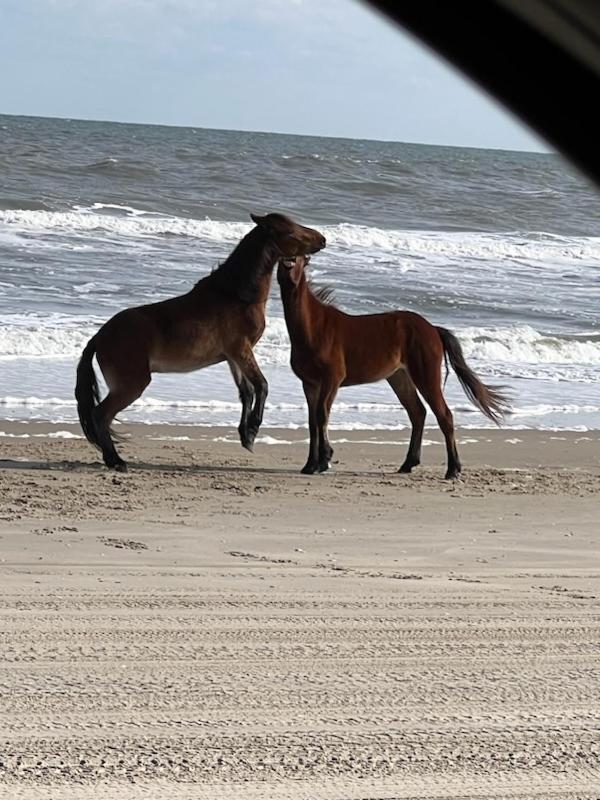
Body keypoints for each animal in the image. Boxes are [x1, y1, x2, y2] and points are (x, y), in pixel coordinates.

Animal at [75, 213, 326, 471]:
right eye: (291, 232)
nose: (322, 239)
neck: (236, 296)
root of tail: (99, 336)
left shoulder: (233, 357)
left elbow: (246, 392)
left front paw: (245, 435)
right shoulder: (242, 350)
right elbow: (262, 386)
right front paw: (254, 428)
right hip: (131, 385)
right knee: (100, 415)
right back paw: (116, 461)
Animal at [278, 254, 510, 479]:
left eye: (302, 257)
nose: (290, 263)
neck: (314, 328)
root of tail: (433, 329)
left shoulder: (331, 380)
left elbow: (321, 416)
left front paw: (324, 460)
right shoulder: (310, 384)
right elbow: (312, 422)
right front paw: (310, 465)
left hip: (426, 376)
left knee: (444, 415)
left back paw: (452, 470)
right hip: (399, 377)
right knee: (417, 413)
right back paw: (408, 464)